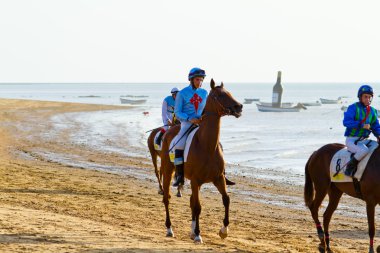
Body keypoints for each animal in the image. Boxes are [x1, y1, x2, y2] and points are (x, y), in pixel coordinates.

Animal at [160, 79, 243, 243]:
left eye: (229, 92)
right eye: (219, 95)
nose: (239, 107)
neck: (207, 145)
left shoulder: (218, 178)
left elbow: (226, 199)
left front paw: (224, 230)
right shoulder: (195, 180)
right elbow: (198, 206)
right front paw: (198, 234)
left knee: (191, 201)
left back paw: (191, 231)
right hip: (168, 171)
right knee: (167, 198)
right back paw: (169, 229)